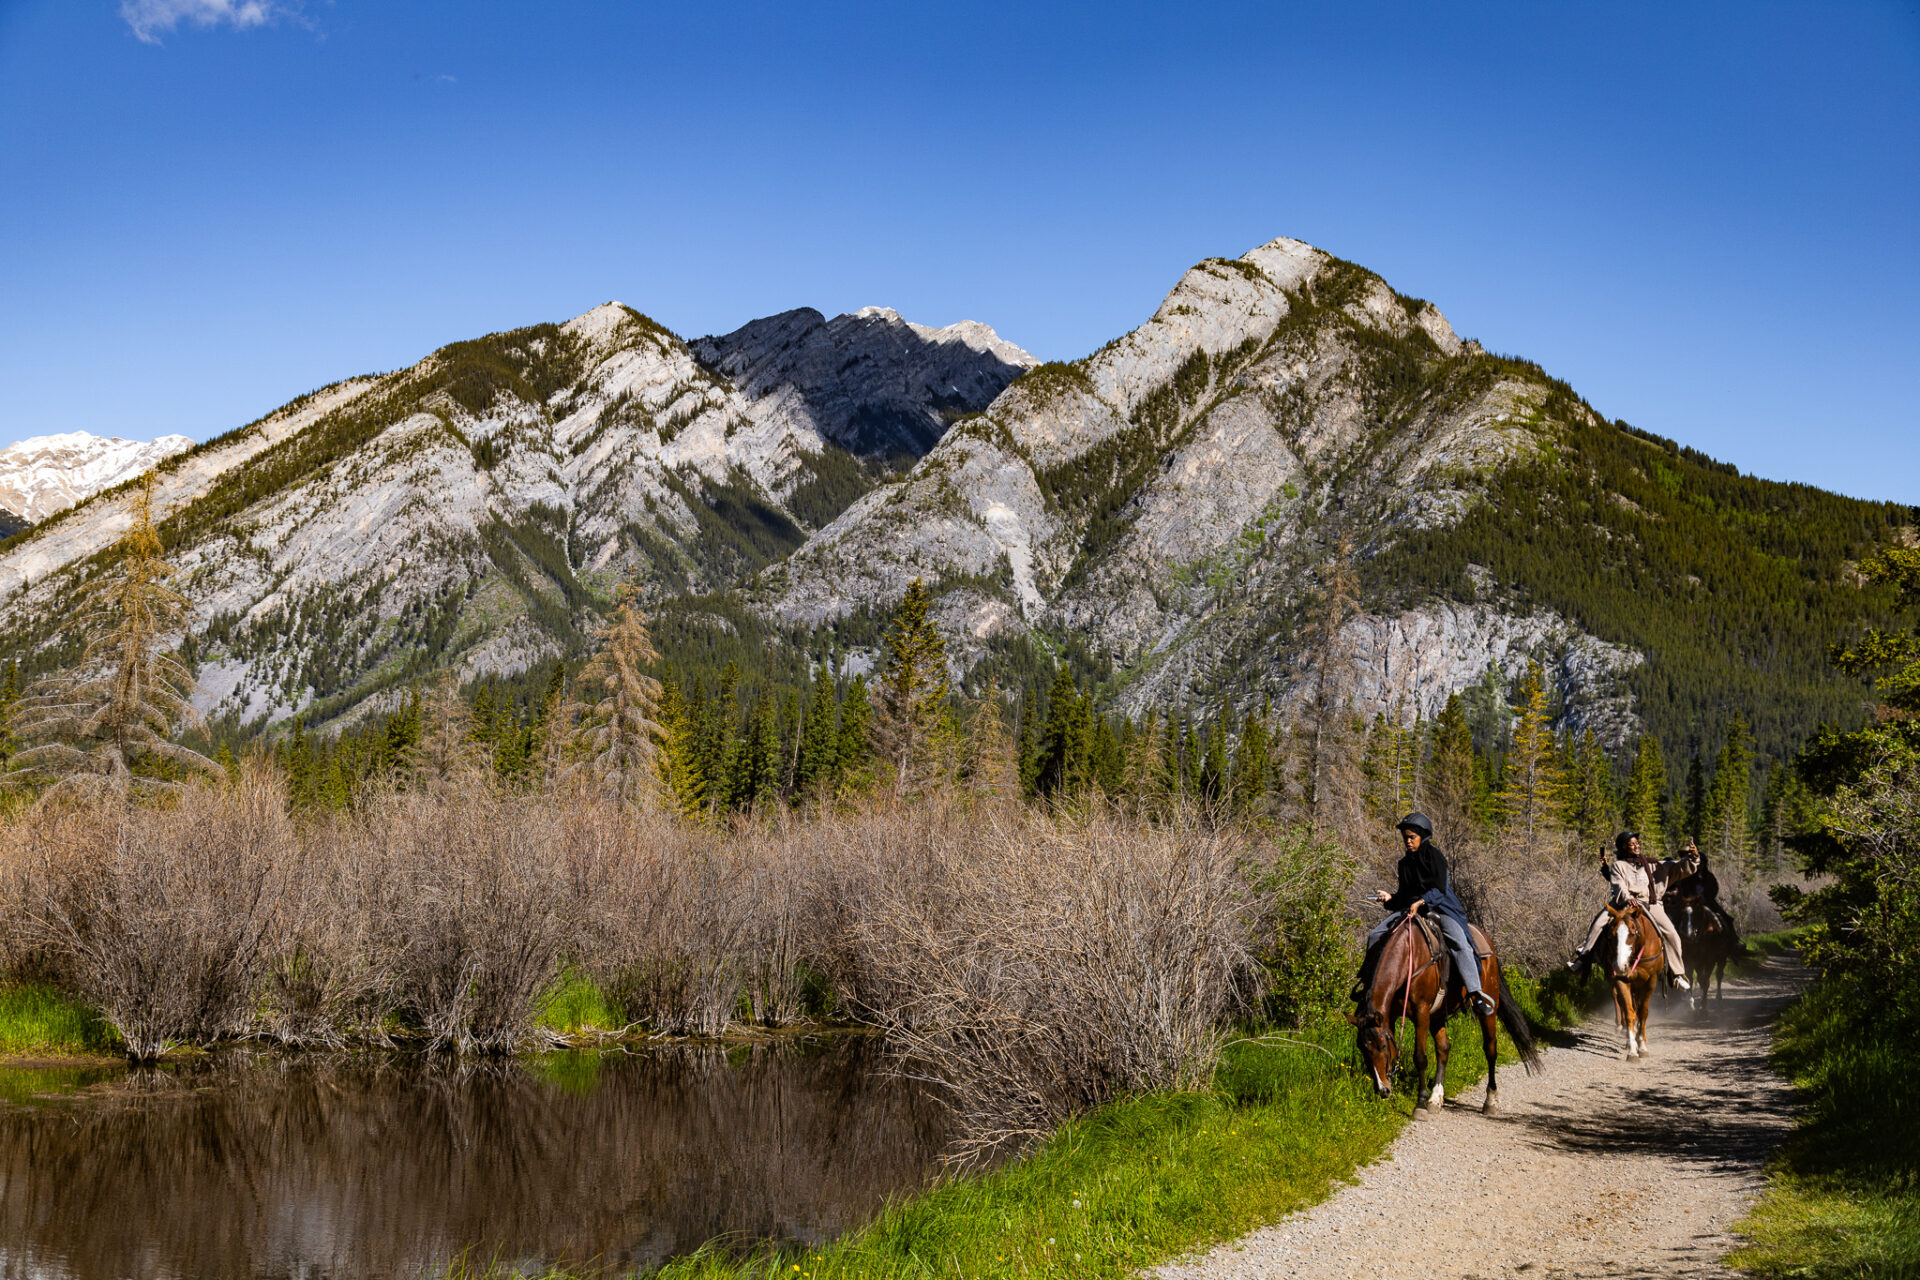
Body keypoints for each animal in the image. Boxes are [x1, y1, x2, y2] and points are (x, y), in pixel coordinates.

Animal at [1351, 917, 1543, 1113]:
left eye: (1382, 1046)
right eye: (1362, 1048)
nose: (1383, 1090)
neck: (1408, 956)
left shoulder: (1421, 1012)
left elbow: (1420, 1057)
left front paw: (1420, 1102)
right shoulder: (1392, 1014)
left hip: (1489, 1007)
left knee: (1490, 1049)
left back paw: (1490, 1101)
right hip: (1437, 1016)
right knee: (1443, 1048)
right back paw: (1436, 1098)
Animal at [1589, 901, 1666, 1059]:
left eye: (1631, 933)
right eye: (1611, 936)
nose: (1619, 966)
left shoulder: (1651, 981)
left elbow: (1643, 1012)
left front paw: (1642, 1046)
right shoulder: (1621, 980)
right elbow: (1630, 1012)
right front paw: (1632, 1050)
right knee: (1620, 1001)